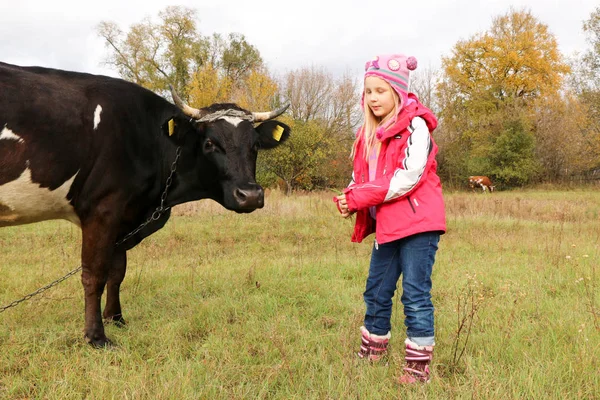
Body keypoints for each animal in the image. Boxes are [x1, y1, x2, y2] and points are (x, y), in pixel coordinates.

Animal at [0, 62, 290, 346]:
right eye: (210, 143)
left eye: (255, 145)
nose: (250, 194)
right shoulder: (102, 209)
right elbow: (94, 274)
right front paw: (96, 336)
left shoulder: (123, 217)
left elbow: (117, 271)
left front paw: (116, 318)